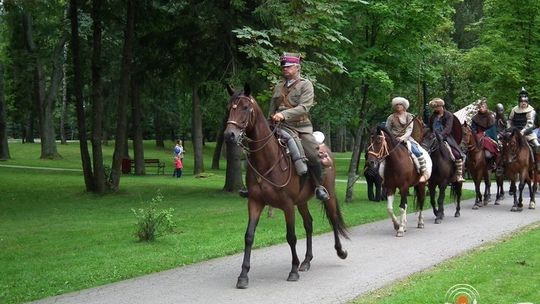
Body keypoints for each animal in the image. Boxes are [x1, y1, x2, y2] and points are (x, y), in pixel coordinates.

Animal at [221, 84, 348, 288]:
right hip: (302, 201)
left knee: (333, 218)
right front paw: (243, 275)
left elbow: (291, 237)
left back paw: (340, 251)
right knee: (309, 223)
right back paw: (306, 261)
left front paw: (293, 270)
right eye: (229, 107)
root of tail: (325, 149)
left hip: (326, 194)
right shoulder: (255, 202)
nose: (229, 135)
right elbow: (249, 236)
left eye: (245, 108)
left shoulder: (288, 205)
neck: (267, 161)